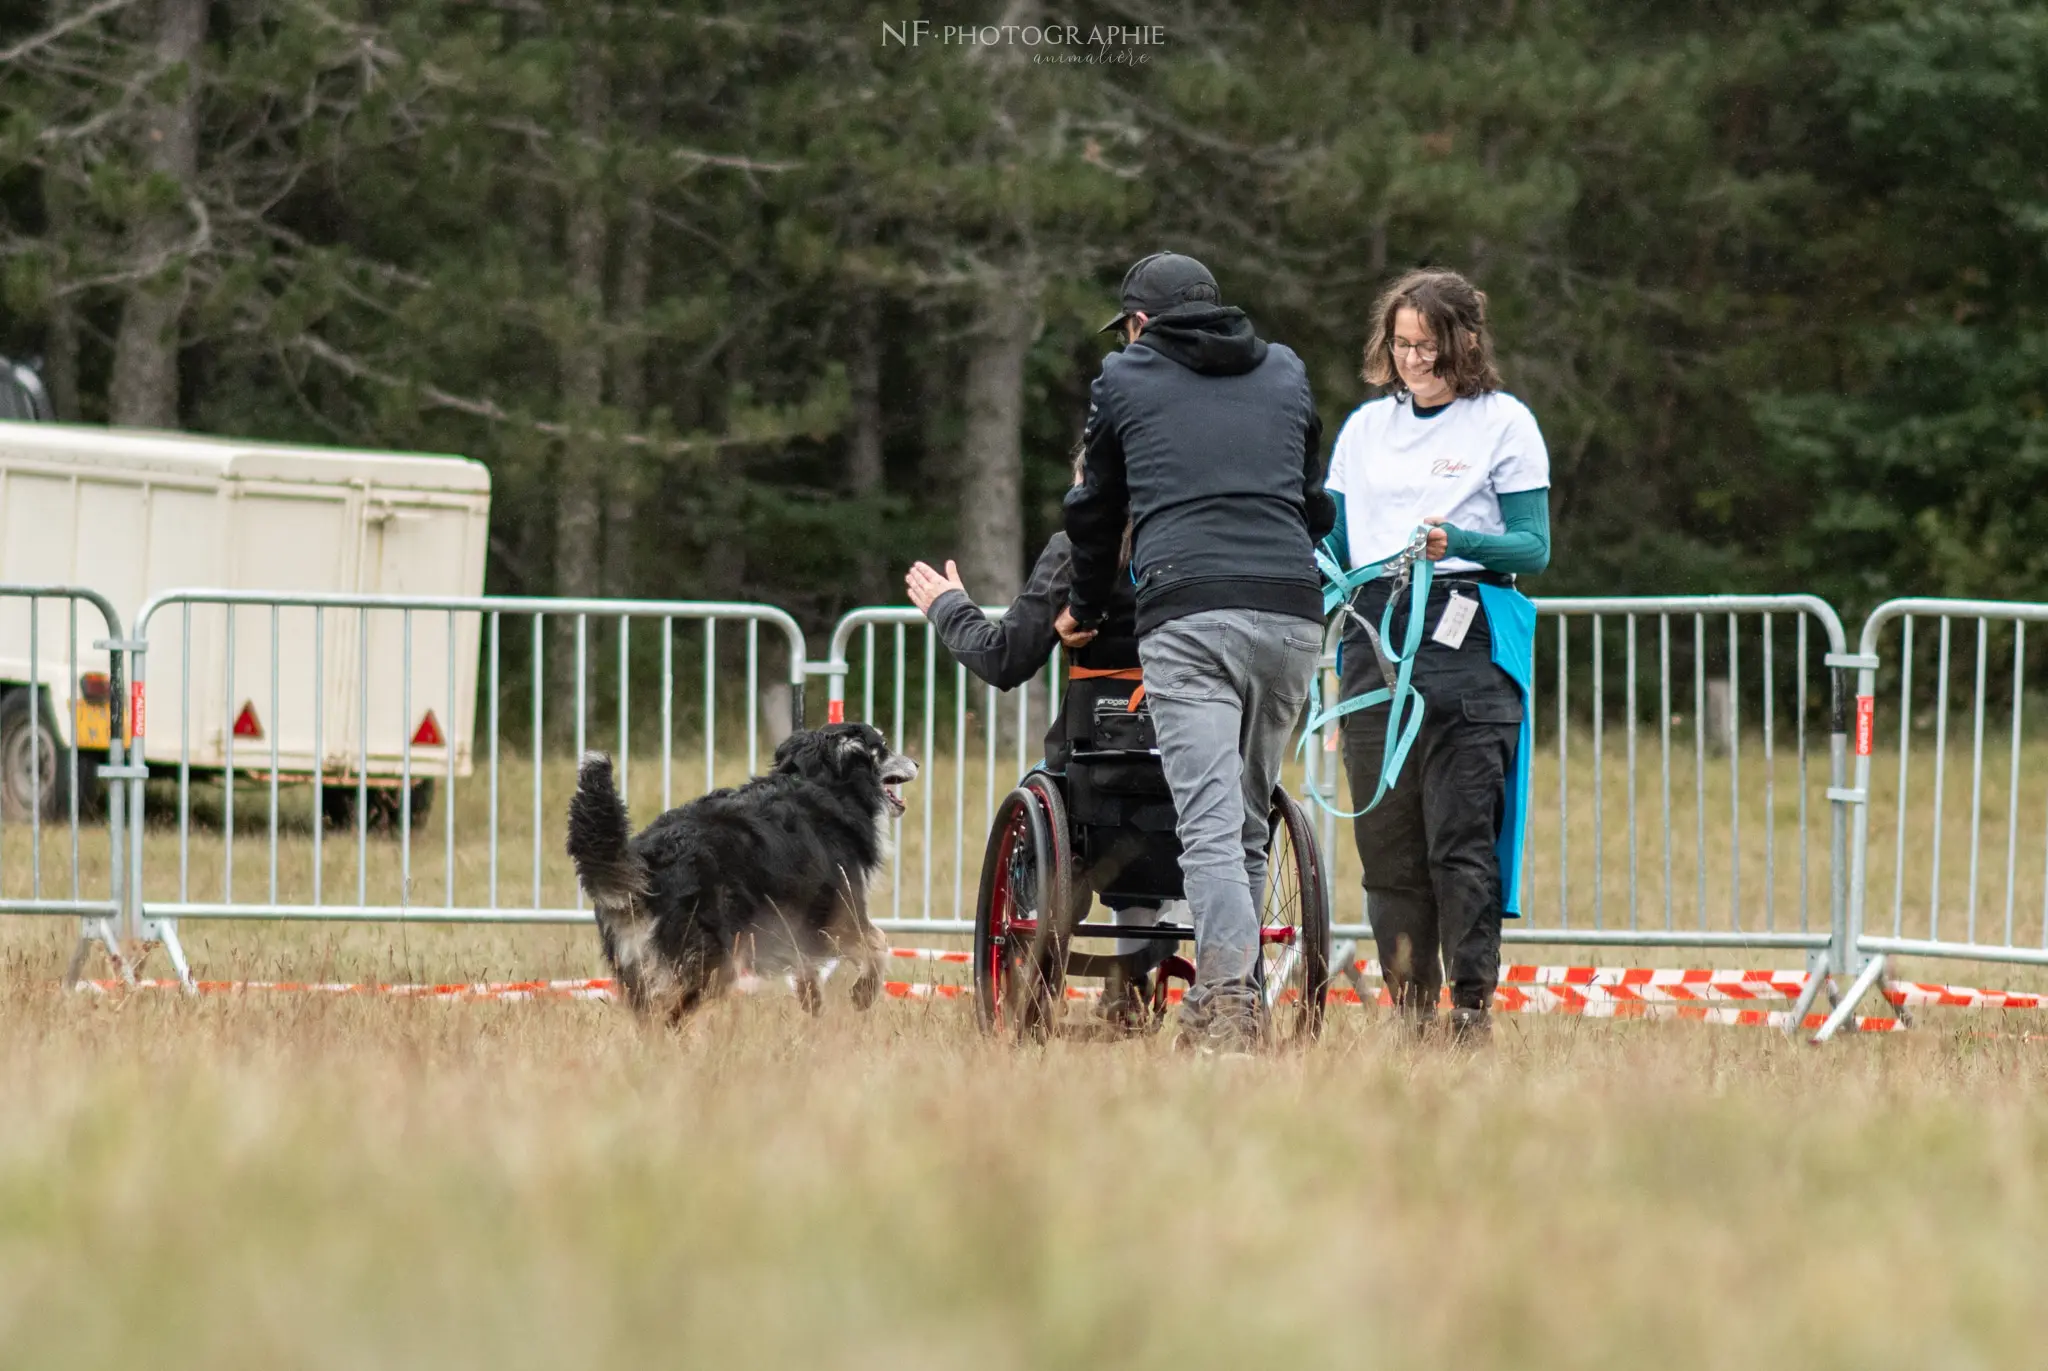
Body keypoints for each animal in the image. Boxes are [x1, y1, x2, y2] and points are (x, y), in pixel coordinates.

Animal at [561, 721, 913, 1020]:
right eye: (882, 746)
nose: (916, 763)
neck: (820, 782)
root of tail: (649, 859)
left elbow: (809, 977)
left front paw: (814, 1015)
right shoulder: (839, 916)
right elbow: (879, 944)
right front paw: (863, 995)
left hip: (636, 961)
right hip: (711, 958)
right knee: (674, 1013)